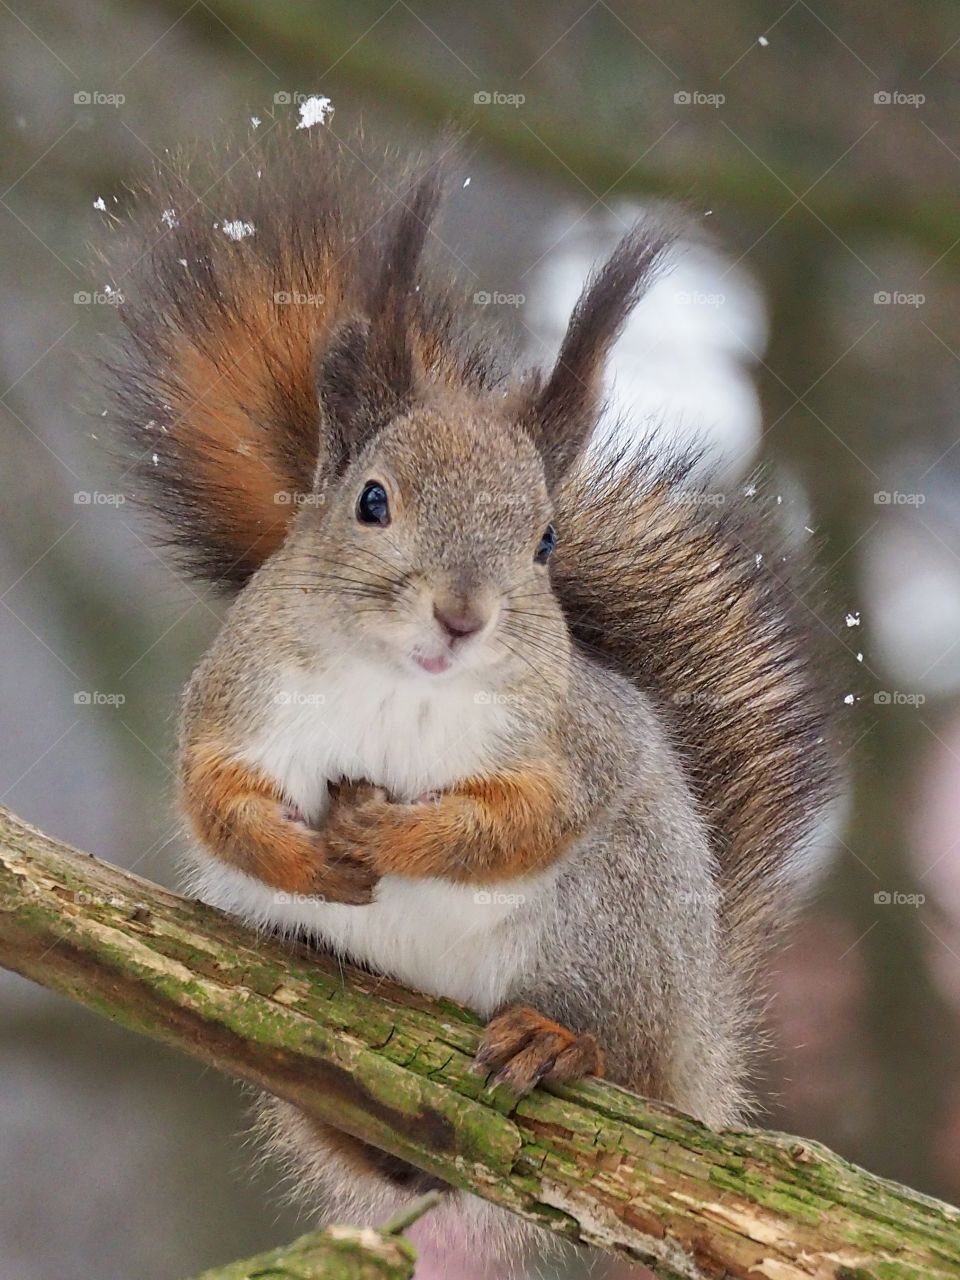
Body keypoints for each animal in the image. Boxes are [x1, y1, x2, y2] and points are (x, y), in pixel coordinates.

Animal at [103, 127, 834, 1278]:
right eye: (371, 501)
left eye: (544, 541)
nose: (462, 615)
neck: (400, 682)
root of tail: (699, 1049)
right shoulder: (234, 700)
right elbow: (214, 798)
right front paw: (300, 855)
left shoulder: (569, 745)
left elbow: (522, 821)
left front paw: (397, 835)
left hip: (614, 924)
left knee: (618, 1057)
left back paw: (559, 1039)